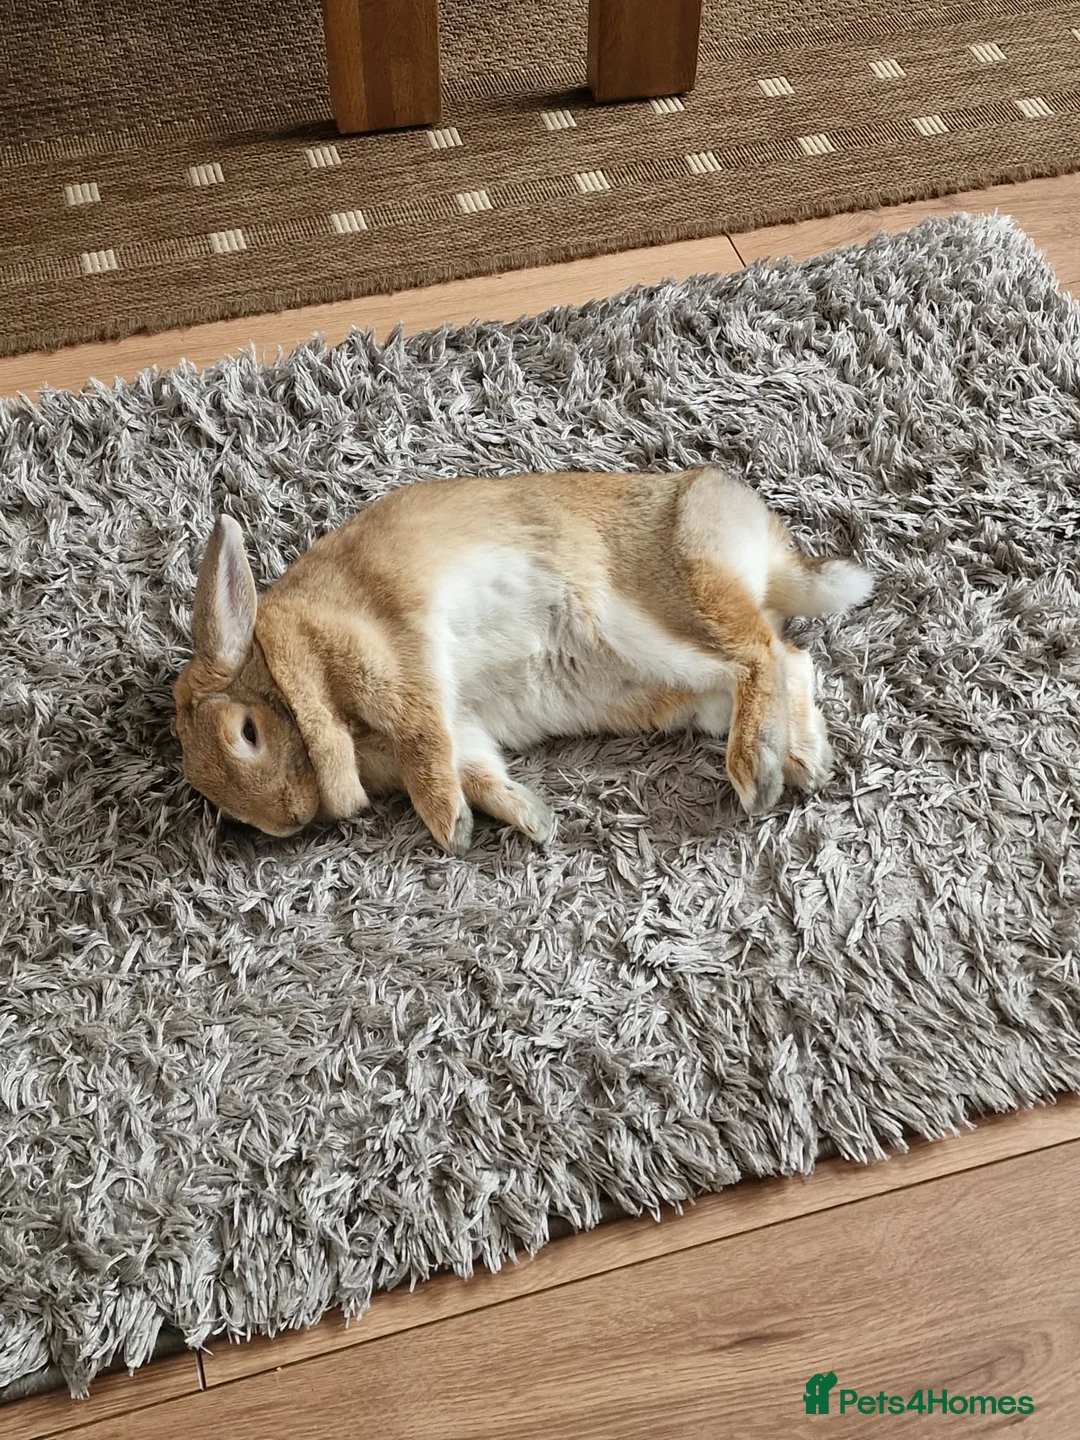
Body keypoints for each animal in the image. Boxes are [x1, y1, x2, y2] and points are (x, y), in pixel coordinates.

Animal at [173, 467, 872, 852]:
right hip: (681, 688)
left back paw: (757, 770)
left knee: (759, 655)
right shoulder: (461, 729)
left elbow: (426, 753)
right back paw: (806, 762)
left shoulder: (396, 667)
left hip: (647, 618)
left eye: (247, 733)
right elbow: (478, 769)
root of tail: (770, 553)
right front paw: (534, 820)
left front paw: (449, 829)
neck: (290, 681)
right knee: (792, 661)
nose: (288, 823)